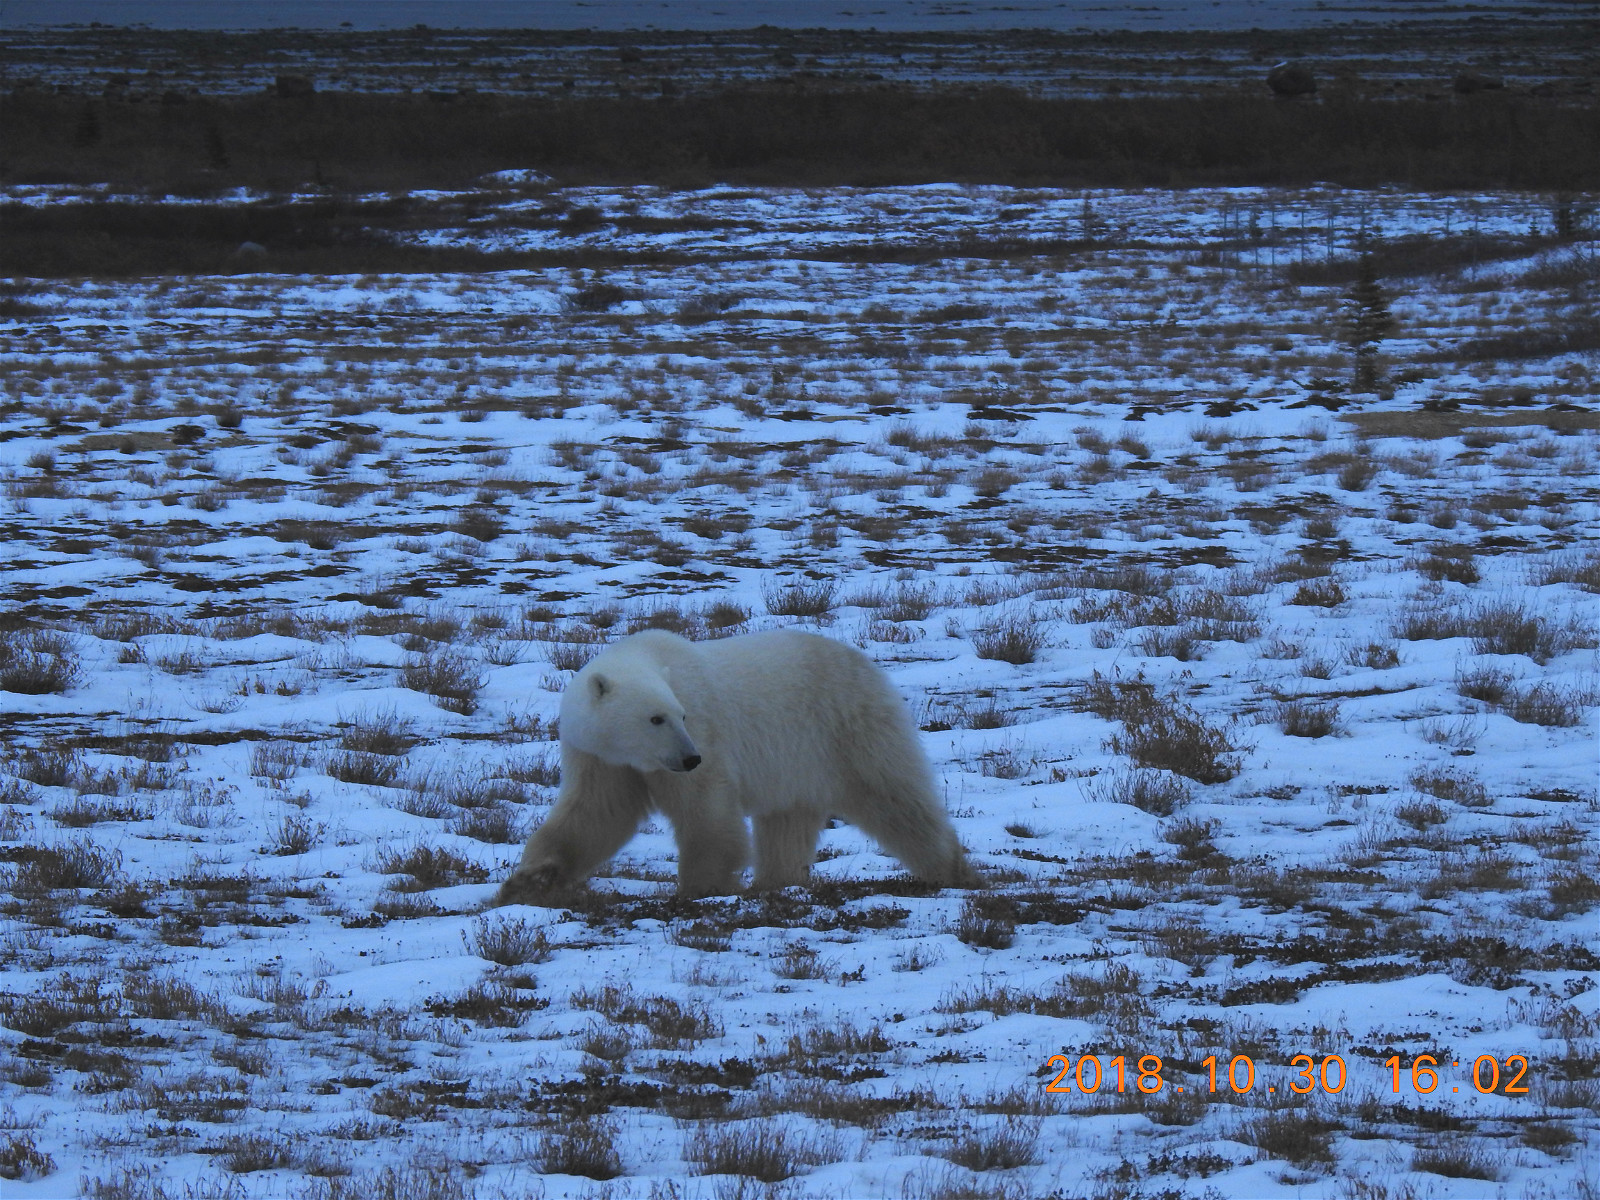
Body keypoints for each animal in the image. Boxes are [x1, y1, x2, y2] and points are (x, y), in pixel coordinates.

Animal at [499, 630, 972, 902]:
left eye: (681, 715)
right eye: (656, 718)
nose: (690, 757)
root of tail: (866, 663)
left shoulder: (704, 735)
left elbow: (705, 812)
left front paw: (701, 887)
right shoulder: (601, 757)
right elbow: (595, 814)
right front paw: (529, 881)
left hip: (848, 726)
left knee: (894, 796)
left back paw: (949, 871)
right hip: (798, 760)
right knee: (787, 821)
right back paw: (776, 882)